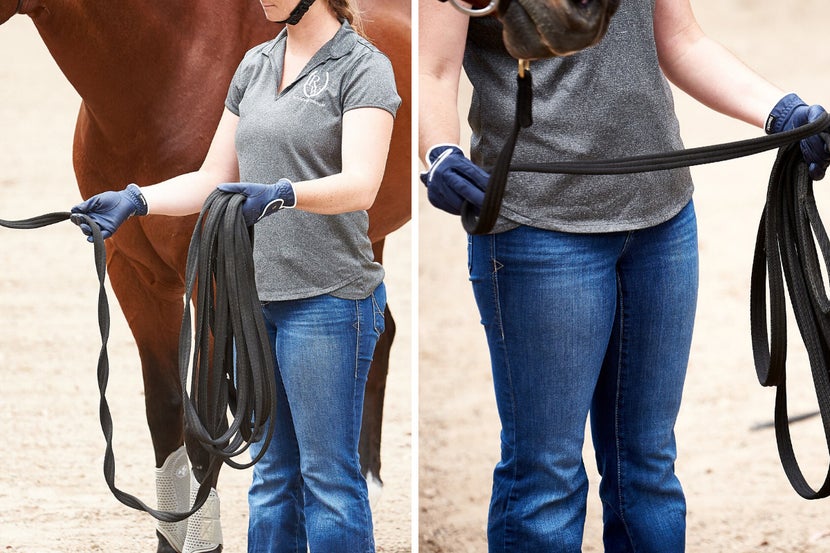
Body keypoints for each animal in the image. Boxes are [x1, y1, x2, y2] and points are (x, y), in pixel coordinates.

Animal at [0, 2, 412, 548]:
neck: (168, 75)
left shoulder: (211, 281)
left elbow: (206, 423)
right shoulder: (135, 276)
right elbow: (167, 410)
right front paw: (169, 538)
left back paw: (366, 478)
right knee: (378, 329)